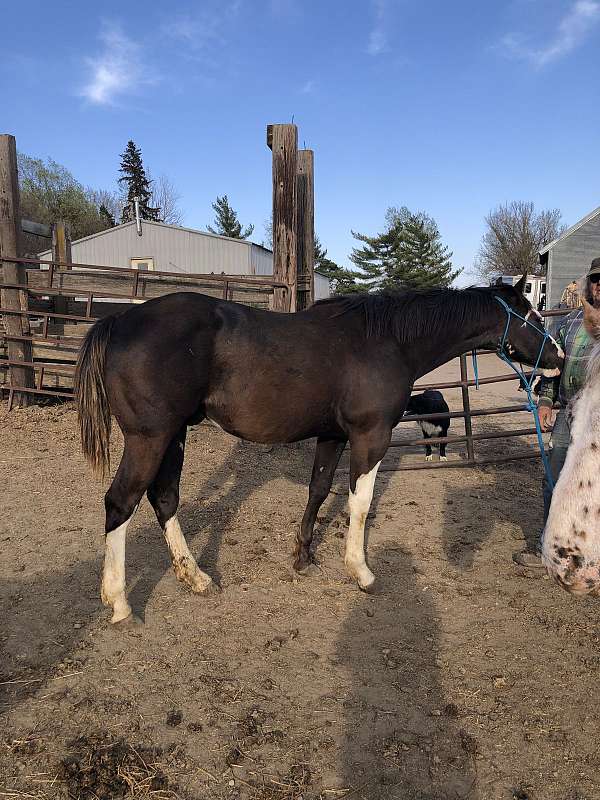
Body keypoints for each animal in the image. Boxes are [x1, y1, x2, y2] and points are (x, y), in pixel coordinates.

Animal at [74, 276, 563, 624]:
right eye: (531, 316)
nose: (557, 360)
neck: (388, 341)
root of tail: (119, 322)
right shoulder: (371, 436)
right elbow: (359, 503)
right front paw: (360, 572)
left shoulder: (333, 436)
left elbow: (319, 490)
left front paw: (303, 556)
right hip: (149, 437)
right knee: (120, 502)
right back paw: (119, 603)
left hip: (173, 435)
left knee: (164, 499)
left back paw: (195, 577)